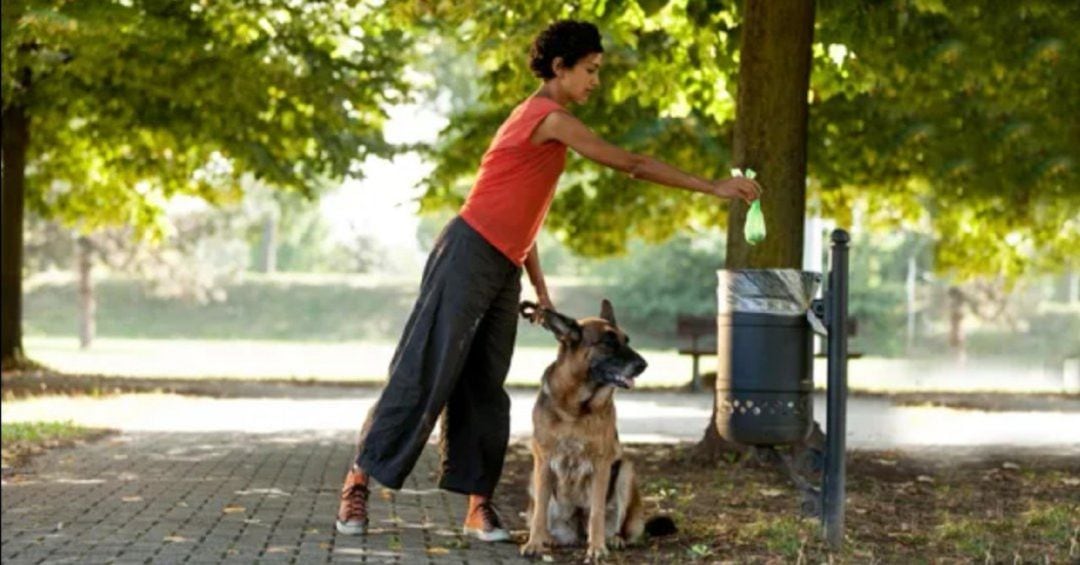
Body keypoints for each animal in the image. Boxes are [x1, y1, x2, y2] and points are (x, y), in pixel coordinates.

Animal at [518, 300, 669, 561]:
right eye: (608, 343)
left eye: (626, 340)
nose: (644, 365)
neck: (575, 408)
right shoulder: (543, 460)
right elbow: (539, 514)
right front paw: (534, 543)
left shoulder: (601, 464)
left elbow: (597, 512)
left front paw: (597, 548)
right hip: (533, 478)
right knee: (541, 512)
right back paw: (548, 538)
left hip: (625, 471)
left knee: (617, 525)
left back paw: (614, 539)